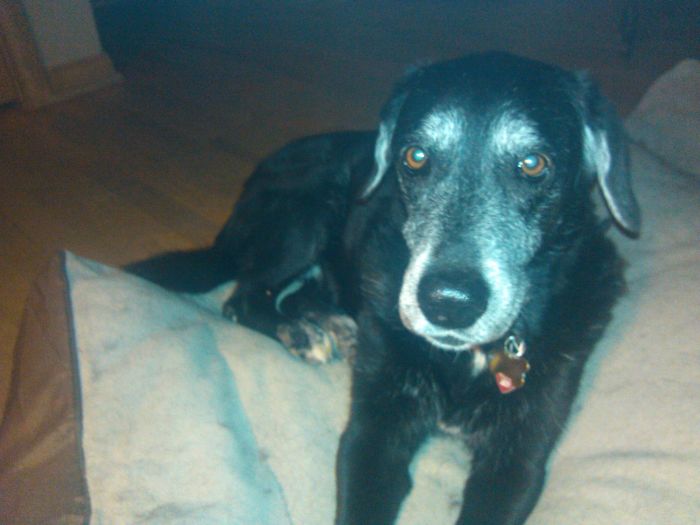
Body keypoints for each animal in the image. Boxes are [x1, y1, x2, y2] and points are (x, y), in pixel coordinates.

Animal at [126, 52, 640, 525]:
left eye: (533, 164)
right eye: (415, 157)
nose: (448, 304)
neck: (467, 358)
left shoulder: (517, 459)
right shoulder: (373, 432)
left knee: (303, 294)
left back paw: (337, 326)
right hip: (307, 214)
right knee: (245, 295)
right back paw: (302, 332)